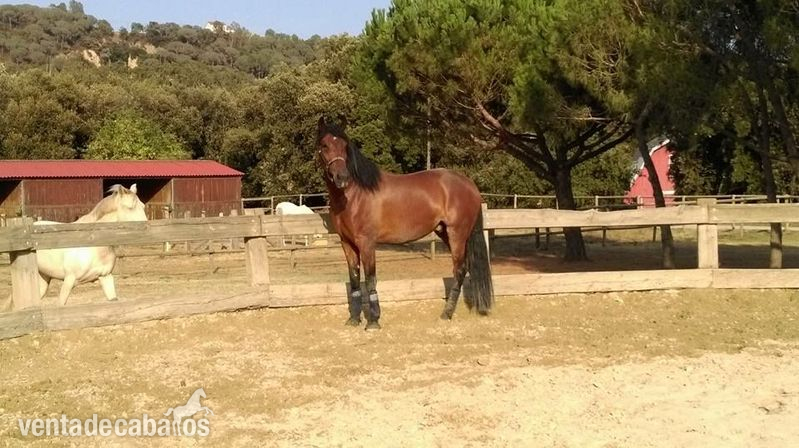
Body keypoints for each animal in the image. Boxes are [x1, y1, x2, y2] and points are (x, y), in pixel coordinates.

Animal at [315, 116, 493, 330]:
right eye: (324, 145)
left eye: (344, 145)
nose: (342, 177)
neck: (354, 195)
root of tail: (470, 184)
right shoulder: (347, 243)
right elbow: (355, 279)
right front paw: (354, 319)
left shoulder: (367, 243)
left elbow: (371, 278)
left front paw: (373, 321)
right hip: (445, 232)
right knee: (465, 267)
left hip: (457, 233)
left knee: (458, 269)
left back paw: (446, 314)